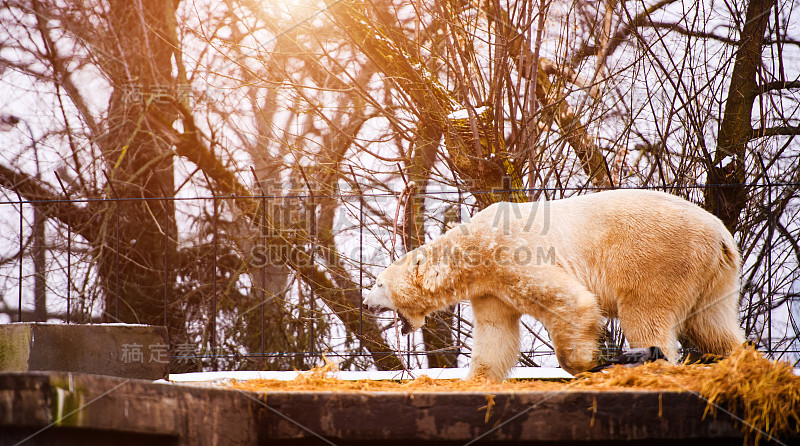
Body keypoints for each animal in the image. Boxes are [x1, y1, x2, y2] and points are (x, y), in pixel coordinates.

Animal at [366, 188, 748, 380]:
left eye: (379, 283)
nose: (367, 304)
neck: (473, 248)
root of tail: (721, 235)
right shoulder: (490, 287)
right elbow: (495, 333)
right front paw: (477, 380)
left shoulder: (512, 253)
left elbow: (570, 302)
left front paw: (587, 362)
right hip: (716, 277)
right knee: (714, 324)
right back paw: (737, 358)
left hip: (659, 259)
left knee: (646, 313)